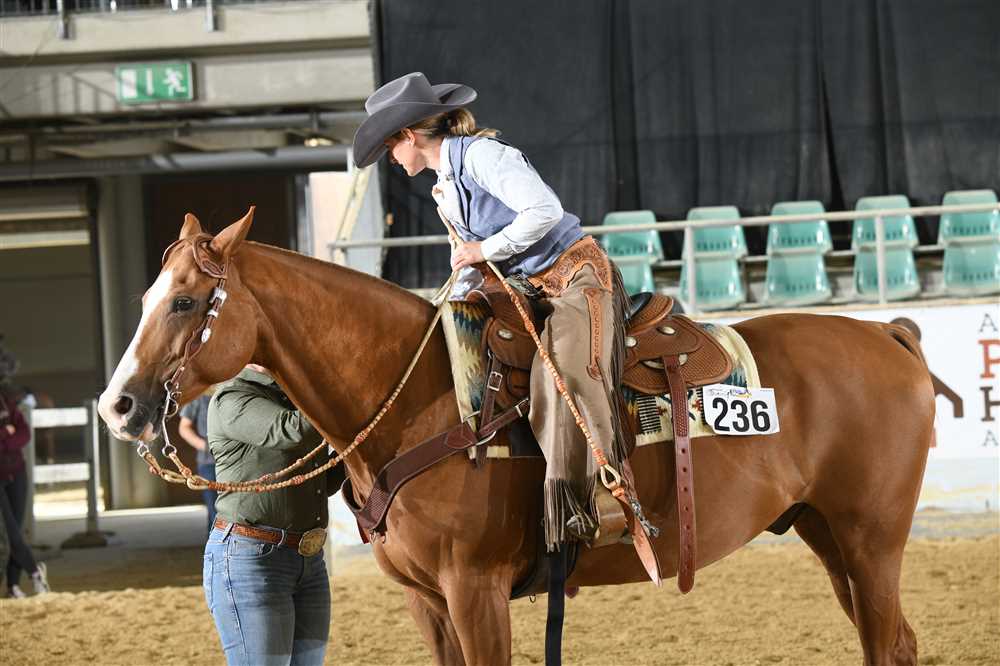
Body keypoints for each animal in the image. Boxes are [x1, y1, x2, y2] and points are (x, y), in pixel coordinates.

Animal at [98, 209, 934, 666]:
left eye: (184, 302)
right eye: (143, 298)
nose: (117, 406)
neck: (427, 401)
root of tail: (887, 335)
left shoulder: (476, 591)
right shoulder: (427, 603)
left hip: (872, 538)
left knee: (889, 644)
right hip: (829, 535)